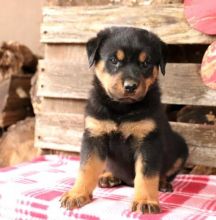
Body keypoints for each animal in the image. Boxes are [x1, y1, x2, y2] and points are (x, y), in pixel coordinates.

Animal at [60, 26, 188, 214]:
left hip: (181, 147)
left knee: (166, 172)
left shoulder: (148, 141)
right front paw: (77, 194)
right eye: (114, 60)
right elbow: (86, 168)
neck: (121, 108)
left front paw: (146, 201)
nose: (130, 86)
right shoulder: (94, 135)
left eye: (146, 63)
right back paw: (109, 176)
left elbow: (147, 174)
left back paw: (163, 183)